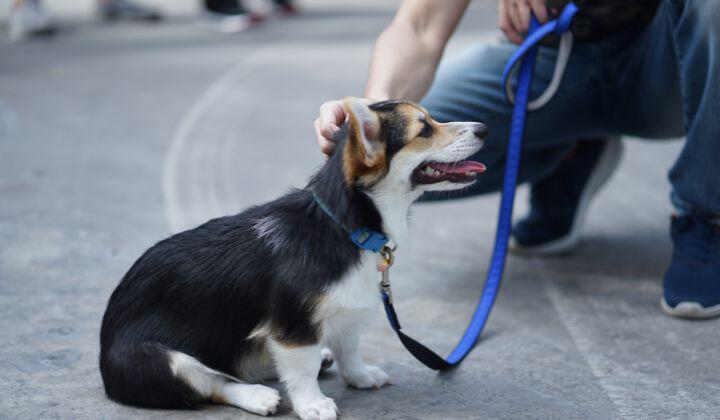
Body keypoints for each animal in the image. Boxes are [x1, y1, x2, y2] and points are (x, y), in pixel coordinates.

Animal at [98, 97, 486, 418]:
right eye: (425, 129)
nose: (484, 128)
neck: (346, 227)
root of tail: (104, 359)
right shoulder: (293, 323)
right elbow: (301, 369)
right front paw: (313, 404)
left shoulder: (346, 311)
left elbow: (349, 347)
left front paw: (360, 376)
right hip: (159, 360)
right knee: (213, 382)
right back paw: (258, 396)